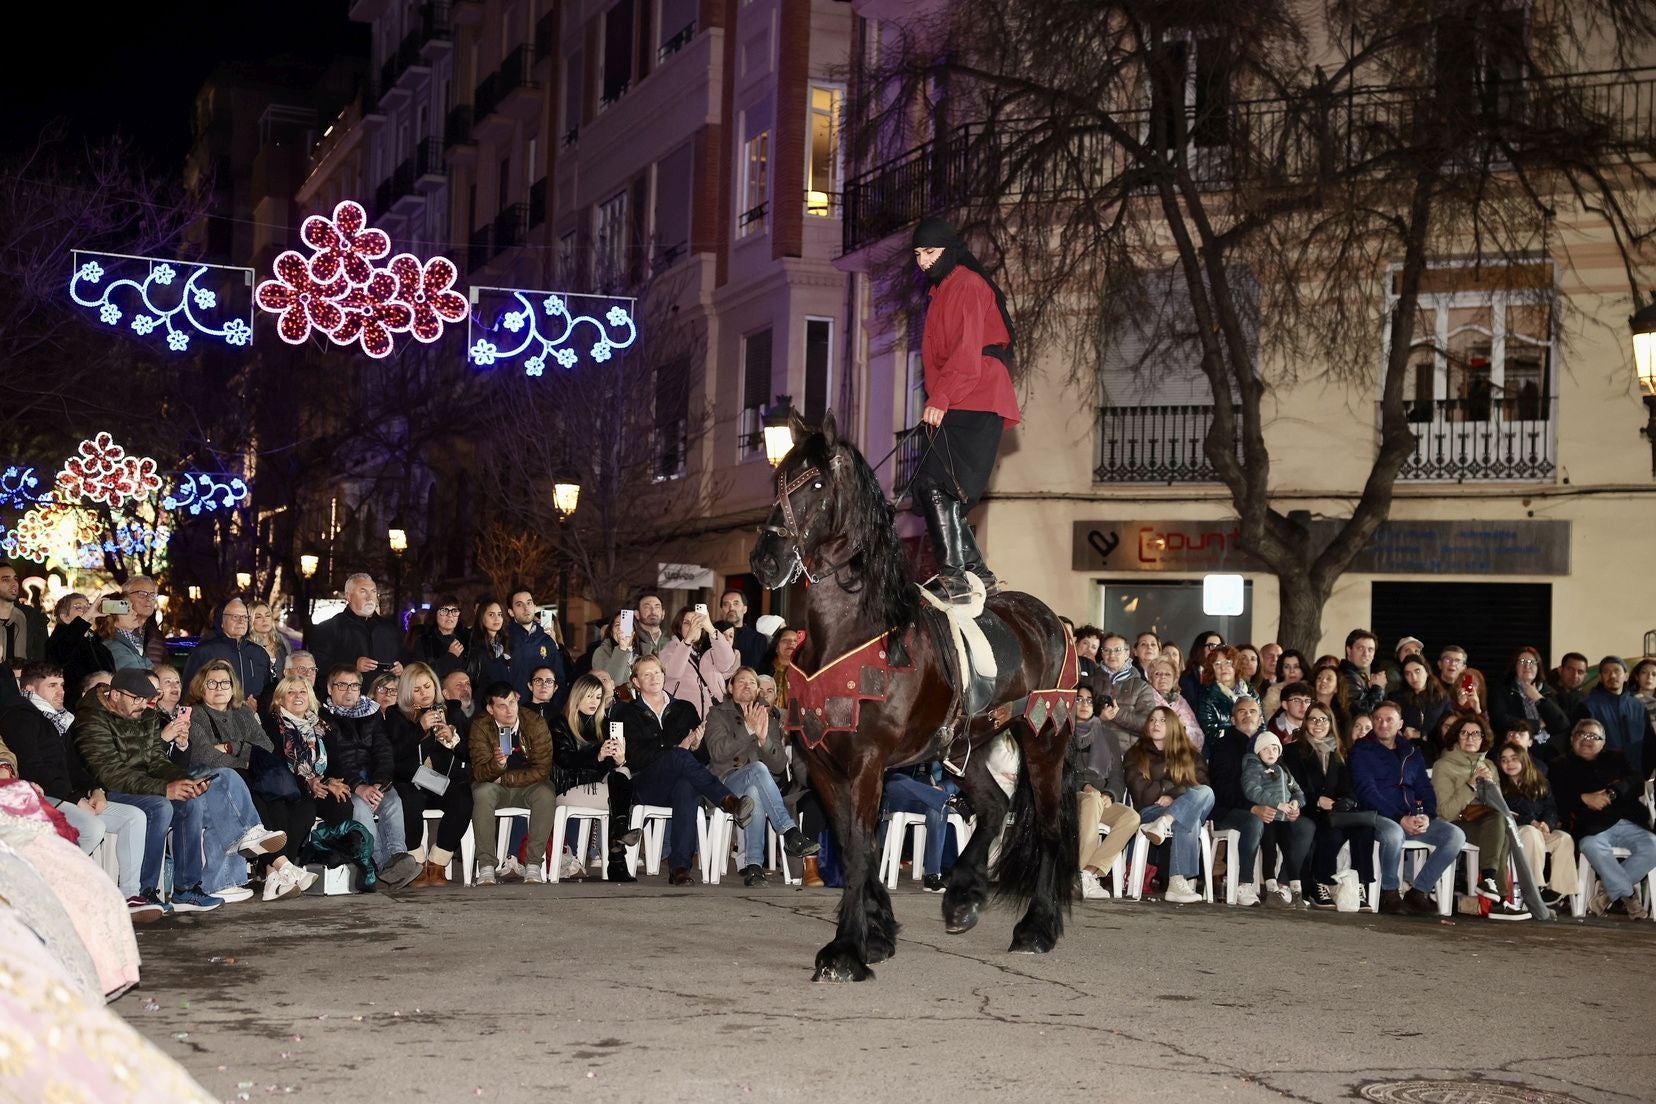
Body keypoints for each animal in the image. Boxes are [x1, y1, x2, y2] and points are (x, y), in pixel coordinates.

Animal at [748, 413, 1073, 986]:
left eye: (816, 484)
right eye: (779, 481)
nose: (765, 561)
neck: (856, 631)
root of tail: (1049, 619)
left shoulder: (867, 762)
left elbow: (860, 848)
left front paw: (846, 951)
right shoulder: (825, 764)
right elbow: (854, 844)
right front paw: (877, 931)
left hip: (1043, 738)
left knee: (1049, 828)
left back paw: (1037, 928)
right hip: (964, 745)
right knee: (995, 806)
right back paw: (964, 896)